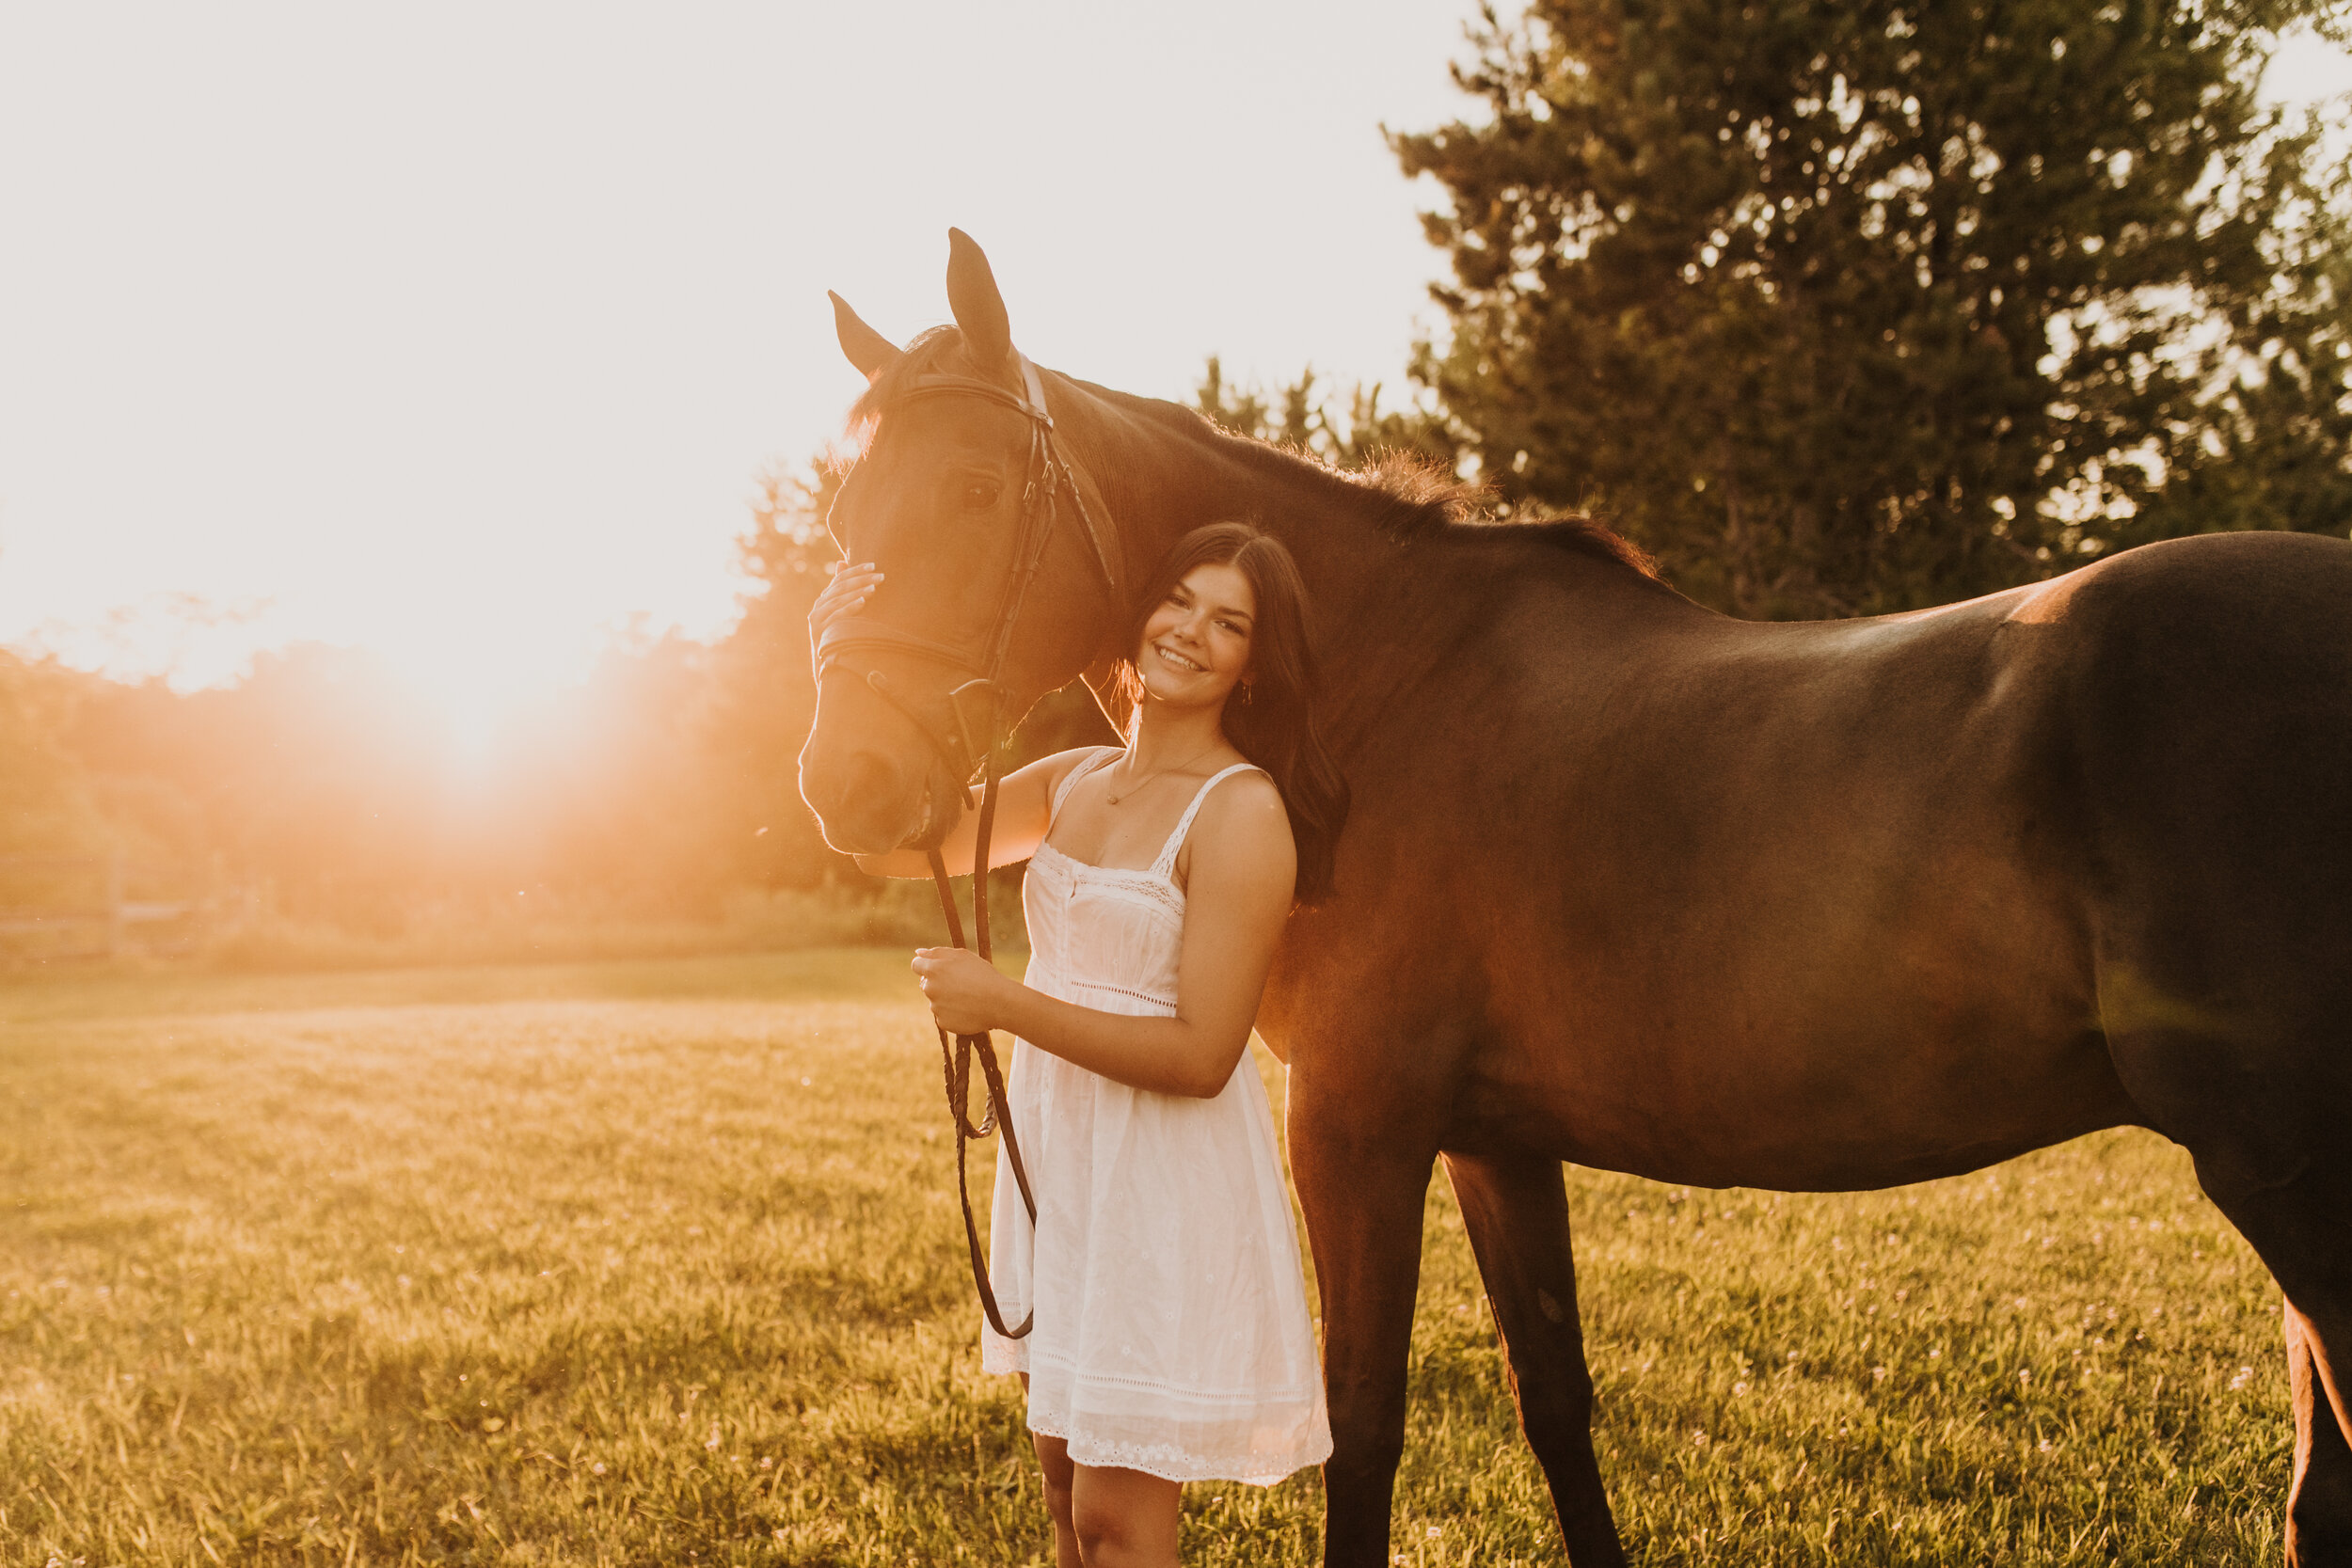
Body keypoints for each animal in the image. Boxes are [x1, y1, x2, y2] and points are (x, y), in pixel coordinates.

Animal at [795, 232, 2352, 1568]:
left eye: (977, 490)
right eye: (845, 504)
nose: (849, 779)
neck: (1370, 694)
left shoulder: (1356, 1124)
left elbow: (1362, 1422)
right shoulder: (1495, 1136)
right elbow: (1554, 1394)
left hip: (2289, 1174)